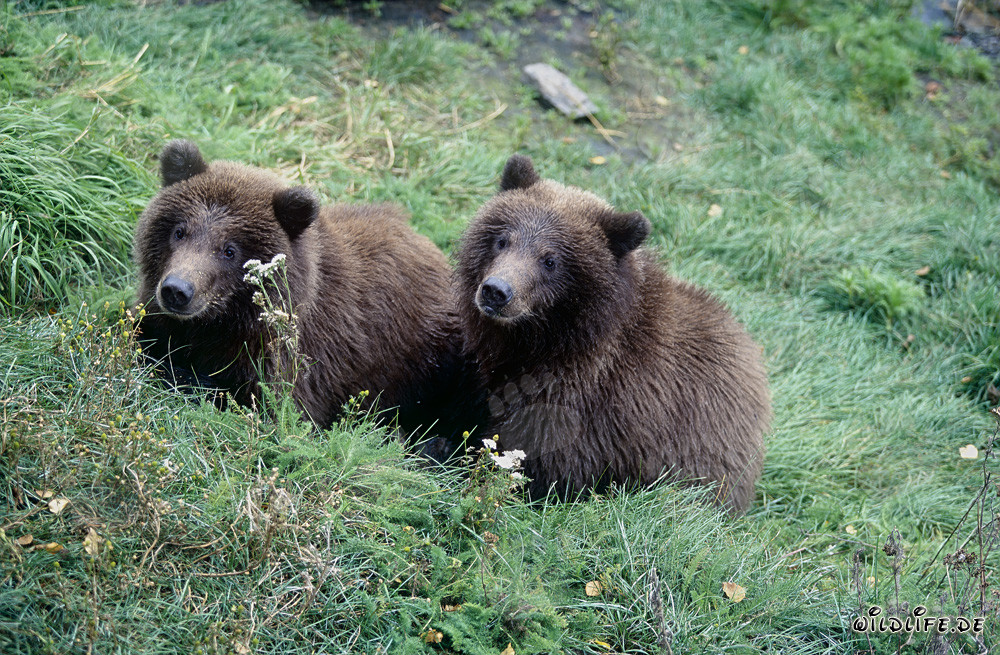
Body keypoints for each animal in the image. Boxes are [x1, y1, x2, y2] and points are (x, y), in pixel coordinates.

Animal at [134, 140, 484, 446]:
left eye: (229, 250)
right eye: (180, 231)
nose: (177, 290)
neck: (225, 322)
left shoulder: (300, 357)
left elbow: (279, 410)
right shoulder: (163, 321)